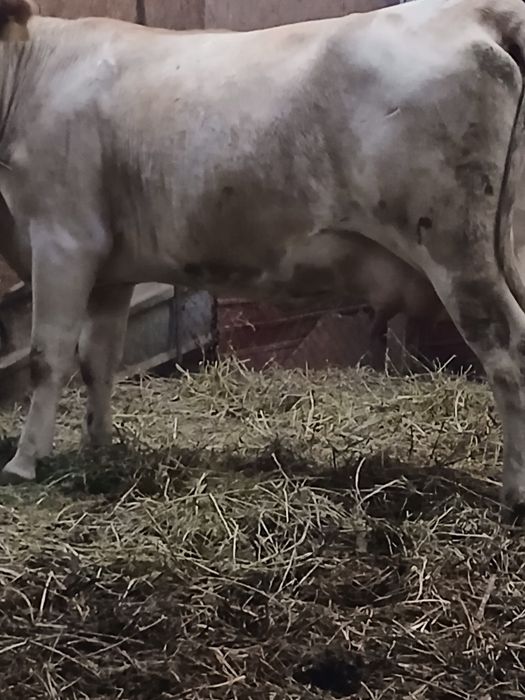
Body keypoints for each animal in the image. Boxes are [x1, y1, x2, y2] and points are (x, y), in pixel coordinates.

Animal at [1, 0, 525, 520]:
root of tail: (477, 13)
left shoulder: (64, 237)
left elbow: (47, 357)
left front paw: (24, 462)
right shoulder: (110, 266)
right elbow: (98, 360)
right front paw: (97, 451)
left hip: (458, 251)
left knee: (508, 352)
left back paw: (514, 495)